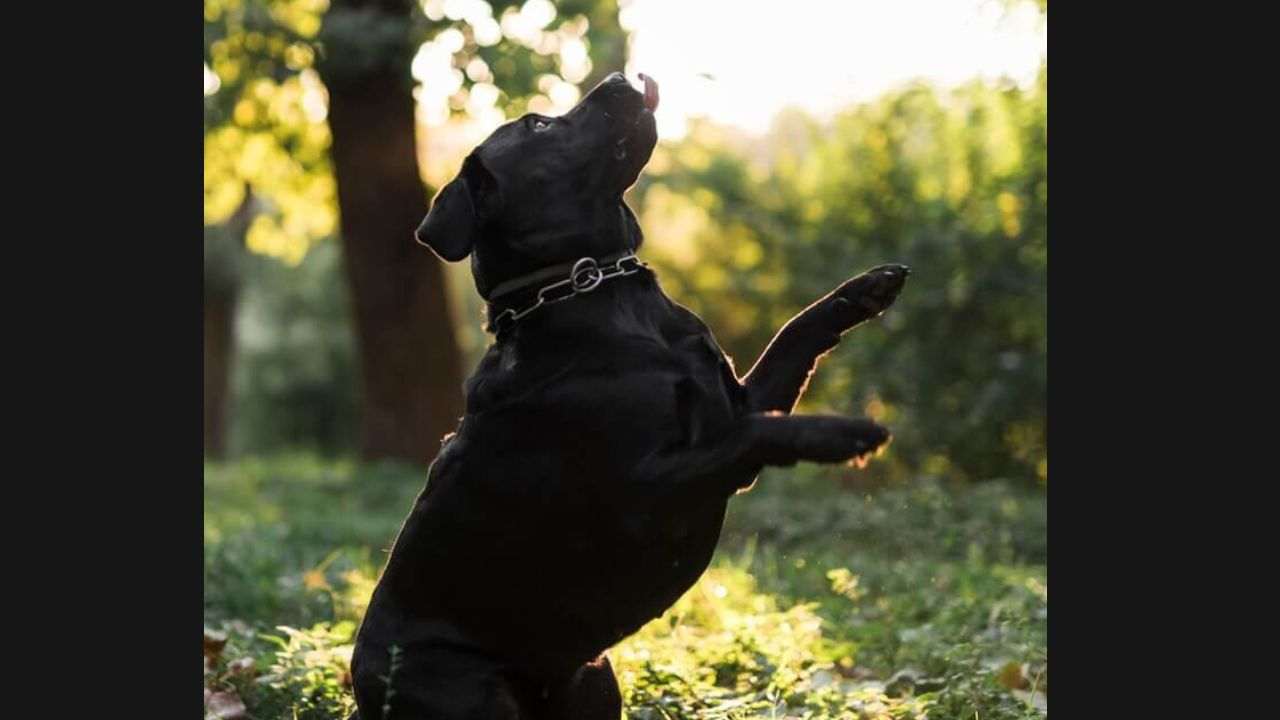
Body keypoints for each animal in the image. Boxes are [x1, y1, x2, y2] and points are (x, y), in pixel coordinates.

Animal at [350, 70, 911, 712]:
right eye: (537, 124)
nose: (622, 77)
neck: (592, 287)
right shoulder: (651, 488)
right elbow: (755, 434)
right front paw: (843, 432)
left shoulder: (740, 399)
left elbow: (793, 335)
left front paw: (867, 288)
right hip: (471, 691)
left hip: (596, 680)